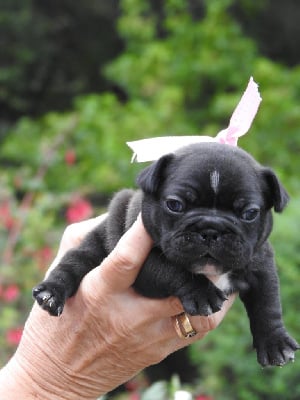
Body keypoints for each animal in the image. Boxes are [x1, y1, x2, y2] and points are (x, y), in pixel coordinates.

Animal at [31, 143, 298, 366]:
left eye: (250, 213)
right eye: (175, 205)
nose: (211, 230)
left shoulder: (261, 264)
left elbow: (267, 303)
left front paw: (275, 342)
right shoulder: (143, 264)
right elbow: (172, 270)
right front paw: (201, 291)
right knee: (74, 262)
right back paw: (51, 293)